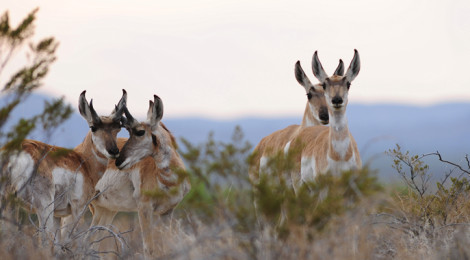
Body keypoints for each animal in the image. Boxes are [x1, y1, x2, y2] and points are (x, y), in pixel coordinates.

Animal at [0, 90, 126, 250]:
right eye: (93, 127)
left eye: (118, 128)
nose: (114, 151)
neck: (83, 161)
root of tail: (17, 151)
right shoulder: (77, 210)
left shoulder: (57, 216)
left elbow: (57, 245)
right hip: (43, 208)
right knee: (43, 241)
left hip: (8, 204)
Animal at [90, 94, 189, 258]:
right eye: (128, 132)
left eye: (140, 132)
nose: (118, 161)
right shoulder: (144, 209)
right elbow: (149, 248)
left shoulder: (167, 212)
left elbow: (168, 246)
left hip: (107, 210)